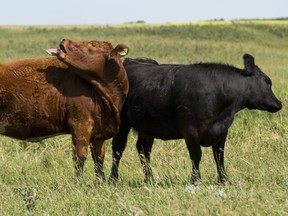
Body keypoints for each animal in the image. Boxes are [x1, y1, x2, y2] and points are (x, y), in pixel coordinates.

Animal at [0, 38, 129, 181]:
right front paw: (78, 182)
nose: (64, 40)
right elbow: (80, 157)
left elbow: (99, 159)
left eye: (93, 45)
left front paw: (100, 181)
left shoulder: (98, 133)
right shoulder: (80, 124)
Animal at [109, 54, 282, 184]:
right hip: (122, 123)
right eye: (268, 82)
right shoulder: (190, 130)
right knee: (118, 149)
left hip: (147, 126)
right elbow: (196, 155)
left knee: (143, 149)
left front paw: (224, 180)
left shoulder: (222, 130)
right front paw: (195, 180)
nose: (279, 103)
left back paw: (150, 179)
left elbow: (219, 156)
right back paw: (113, 179)